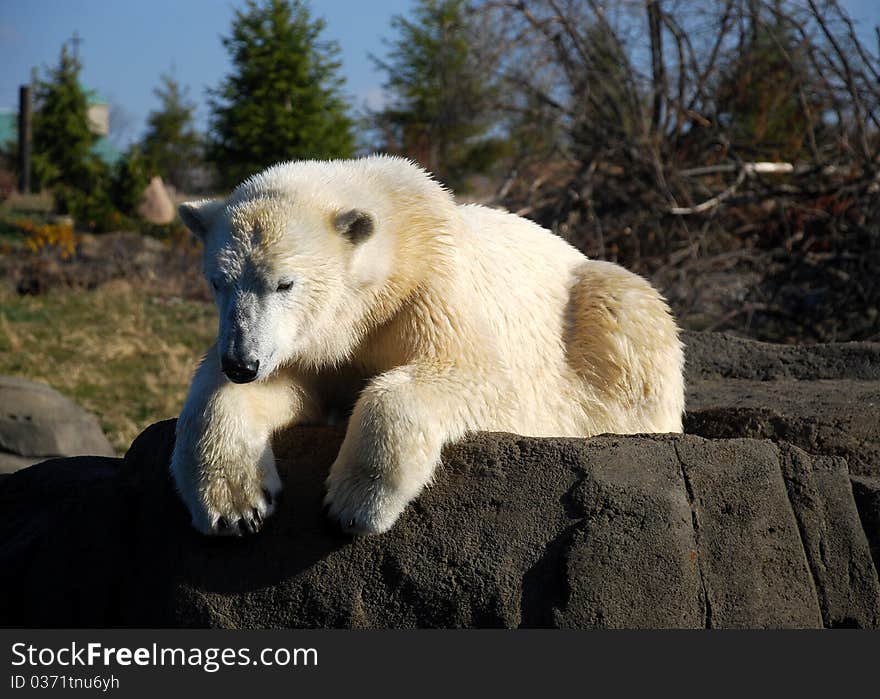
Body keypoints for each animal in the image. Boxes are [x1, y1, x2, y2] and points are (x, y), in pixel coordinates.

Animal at [168, 157, 684, 536]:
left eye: (284, 283)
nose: (242, 362)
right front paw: (235, 506)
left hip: (599, 309)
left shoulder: (430, 290)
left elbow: (478, 377)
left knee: (625, 305)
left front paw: (354, 502)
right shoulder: (307, 344)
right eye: (218, 282)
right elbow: (253, 389)